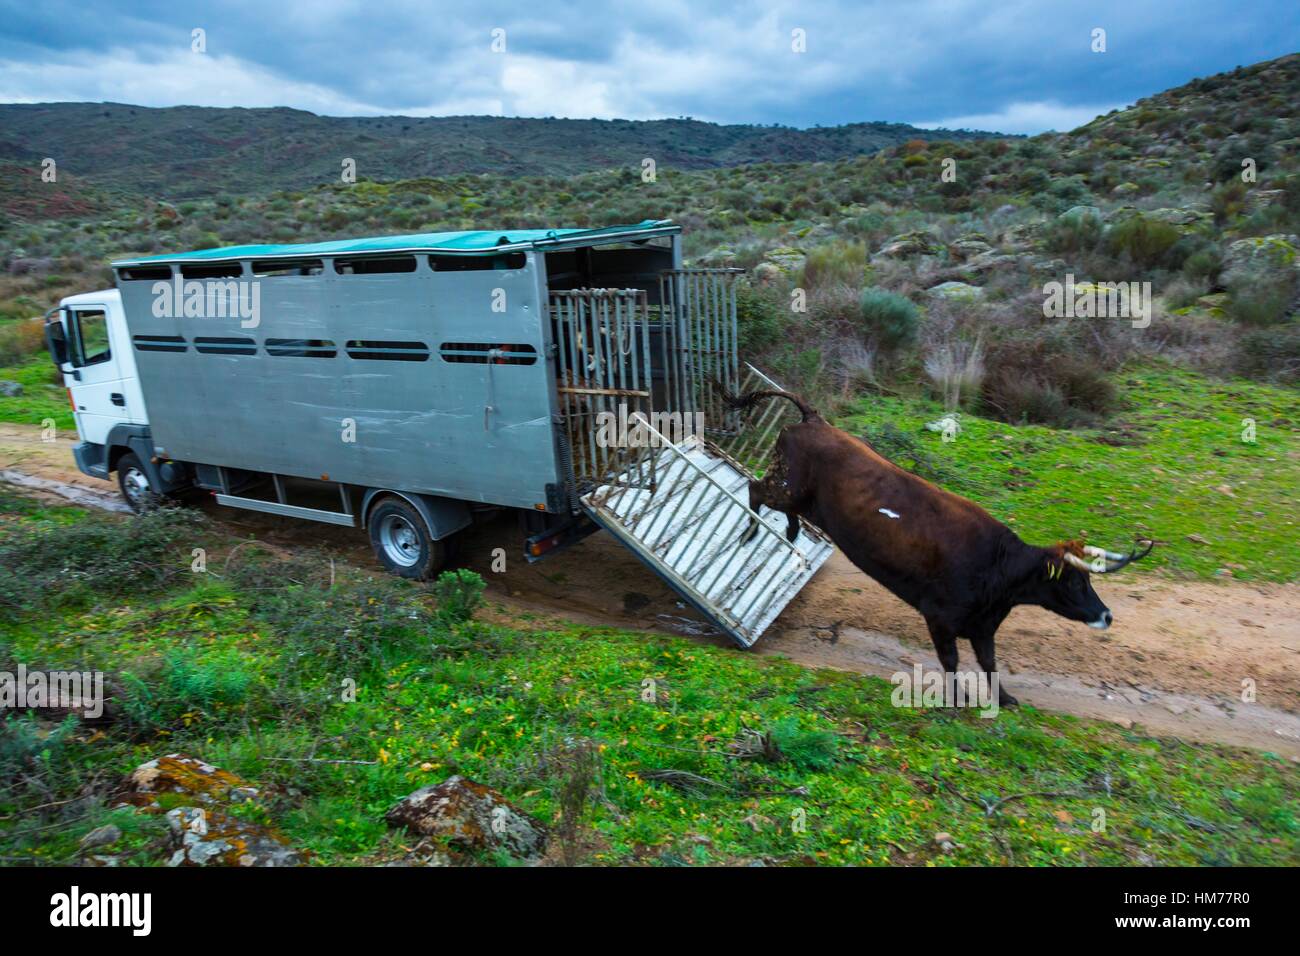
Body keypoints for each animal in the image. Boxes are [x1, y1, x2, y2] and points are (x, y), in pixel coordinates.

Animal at [725, 387, 1154, 707]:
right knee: (753, 490)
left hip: (797, 494)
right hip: (785, 484)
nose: (1107, 615)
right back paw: (750, 532)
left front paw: (1005, 698)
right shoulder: (939, 617)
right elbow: (952, 661)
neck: (998, 569)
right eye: (1075, 582)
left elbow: (990, 663)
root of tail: (813, 418)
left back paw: (791, 531)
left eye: (1088, 581)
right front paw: (959, 699)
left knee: (782, 507)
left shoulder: (983, 627)